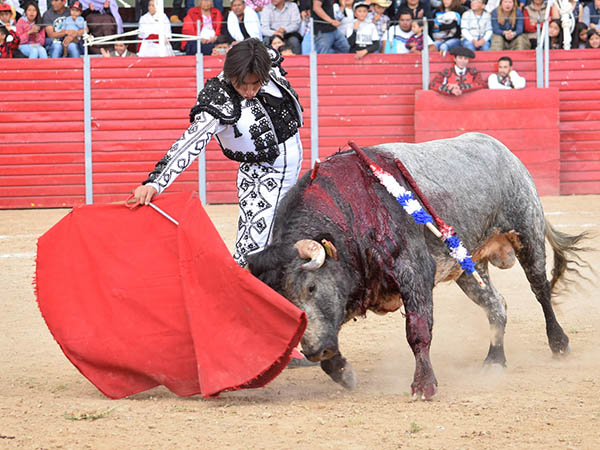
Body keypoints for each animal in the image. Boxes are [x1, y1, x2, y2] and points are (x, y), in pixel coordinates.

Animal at [246, 133, 589, 400]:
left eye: (311, 286)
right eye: (281, 302)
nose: (315, 351)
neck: (351, 212)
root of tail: (504, 152)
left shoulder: (414, 273)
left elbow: (418, 331)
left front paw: (424, 386)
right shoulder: (350, 292)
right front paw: (344, 373)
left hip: (527, 234)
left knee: (540, 290)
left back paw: (559, 344)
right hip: (468, 267)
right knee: (497, 305)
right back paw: (494, 361)